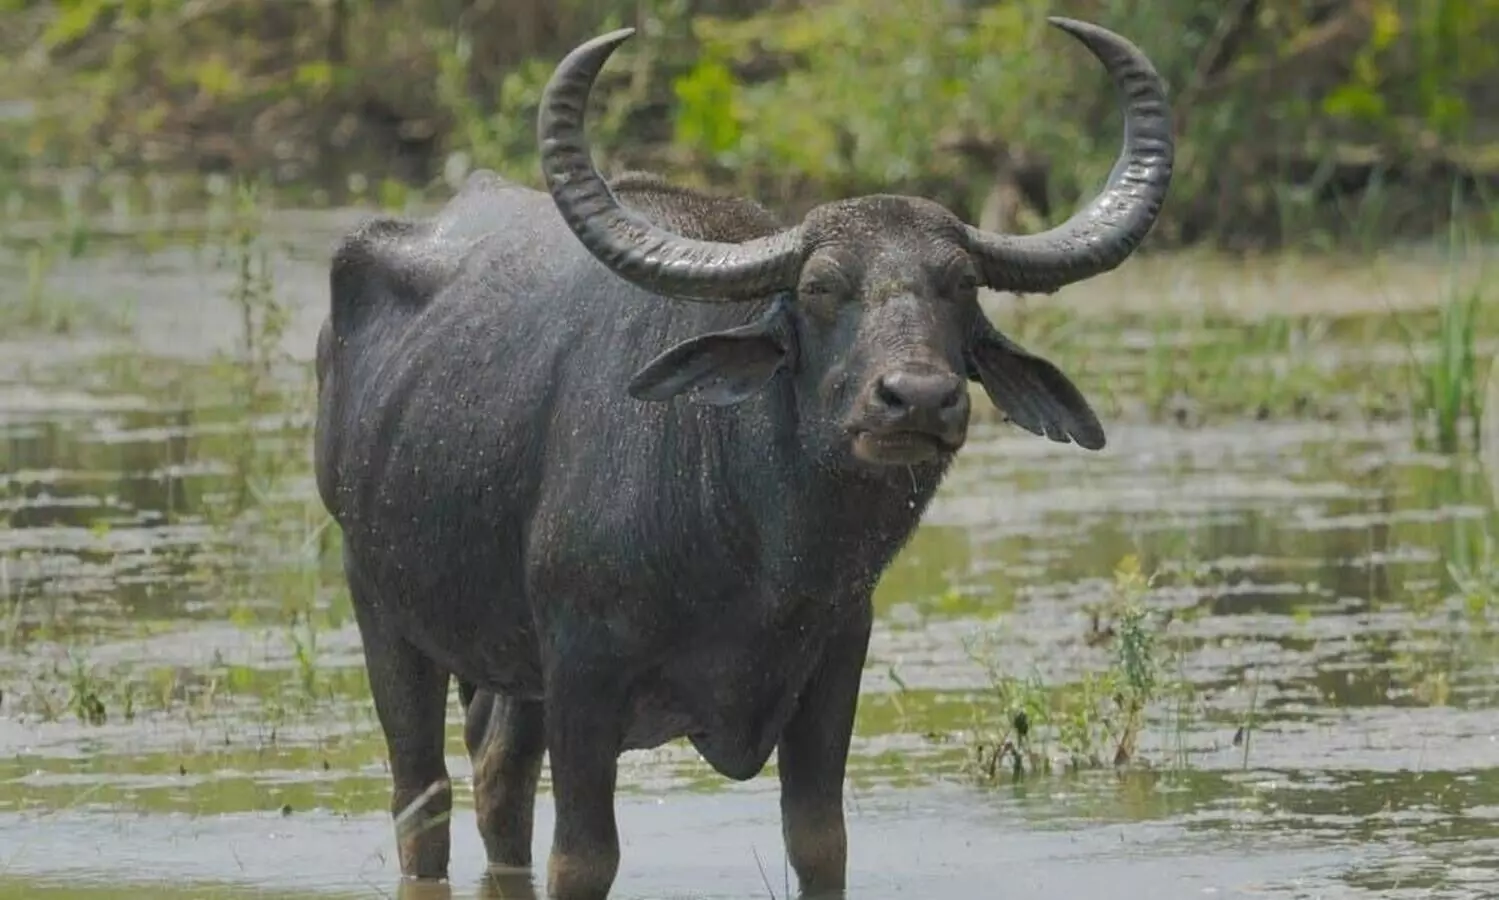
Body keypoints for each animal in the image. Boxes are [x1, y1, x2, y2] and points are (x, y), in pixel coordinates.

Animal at [314, 15, 1173, 899]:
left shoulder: (835, 656)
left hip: (508, 669)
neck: (759, 553)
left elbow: (819, 840)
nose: (917, 399)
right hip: (380, 606)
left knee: (497, 778)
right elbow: (584, 857)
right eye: (821, 287)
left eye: (961, 286)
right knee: (423, 797)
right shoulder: (582, 673)